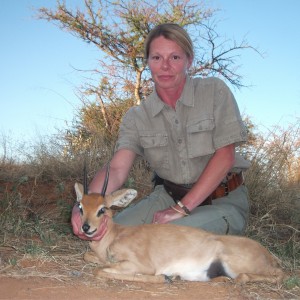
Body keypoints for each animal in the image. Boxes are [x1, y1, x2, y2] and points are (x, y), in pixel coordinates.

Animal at [74, 171, 284, 284]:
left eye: (103, 209)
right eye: (81, 206)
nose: (86, 228)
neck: (115, 235)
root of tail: (268, 255)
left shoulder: (142, 266)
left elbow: (100, 270)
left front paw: (166, 278)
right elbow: (89, 259)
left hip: (239, 265)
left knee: (278, 274)